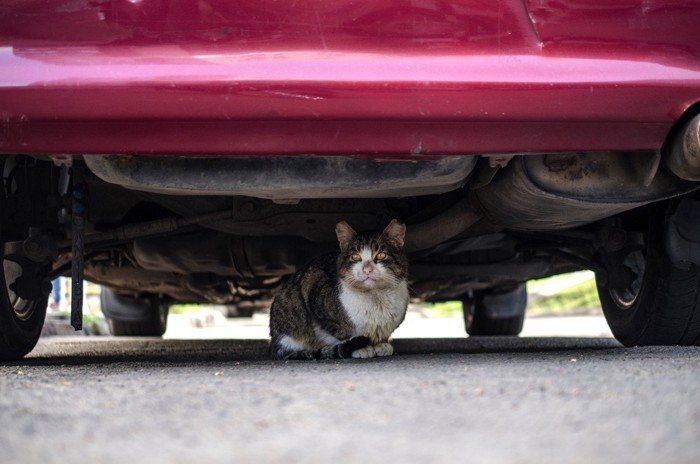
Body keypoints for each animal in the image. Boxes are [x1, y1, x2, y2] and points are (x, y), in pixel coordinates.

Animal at [270, 219, 410, 360]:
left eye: (381, 255)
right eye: (355, 257)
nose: (367, 269)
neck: (376, 296)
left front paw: (382, 345)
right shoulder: (313, 283)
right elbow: (344, 333)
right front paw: (362, 348)